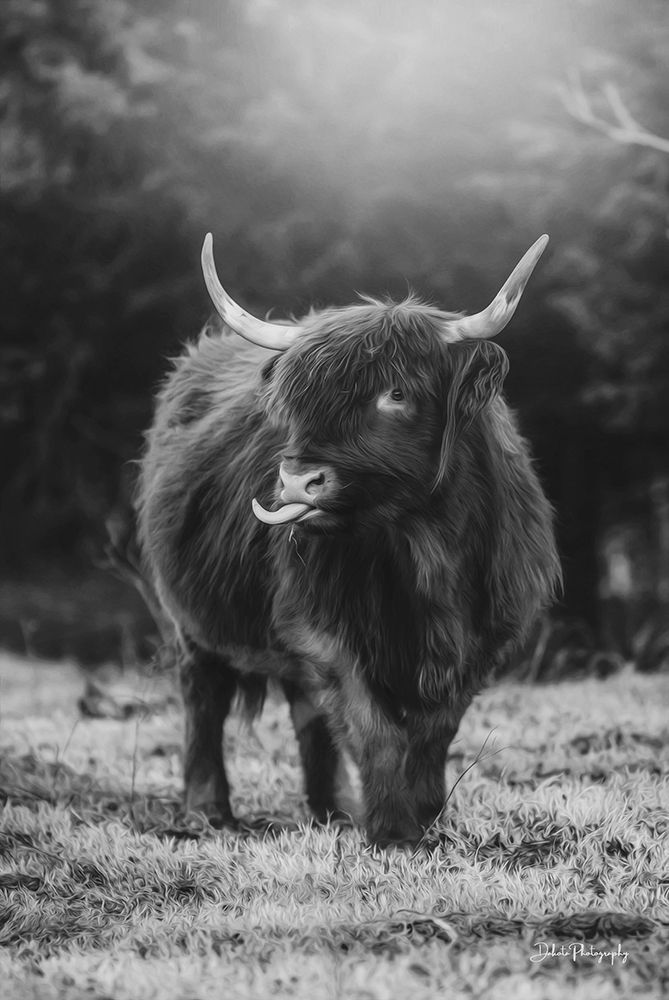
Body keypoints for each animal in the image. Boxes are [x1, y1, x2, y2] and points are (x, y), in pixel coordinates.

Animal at [136, 233, 560, 846]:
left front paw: (426, 818)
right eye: (297, 400)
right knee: (204, 698)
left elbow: (434, 730)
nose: (296, 481)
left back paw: (331, 809)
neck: (423, 548)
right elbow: (371, 724)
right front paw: (390, 829)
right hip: (189, 618)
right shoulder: (319, 625)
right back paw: (208, 811)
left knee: (306, 712)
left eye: (397, 393)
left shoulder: (485, 635)